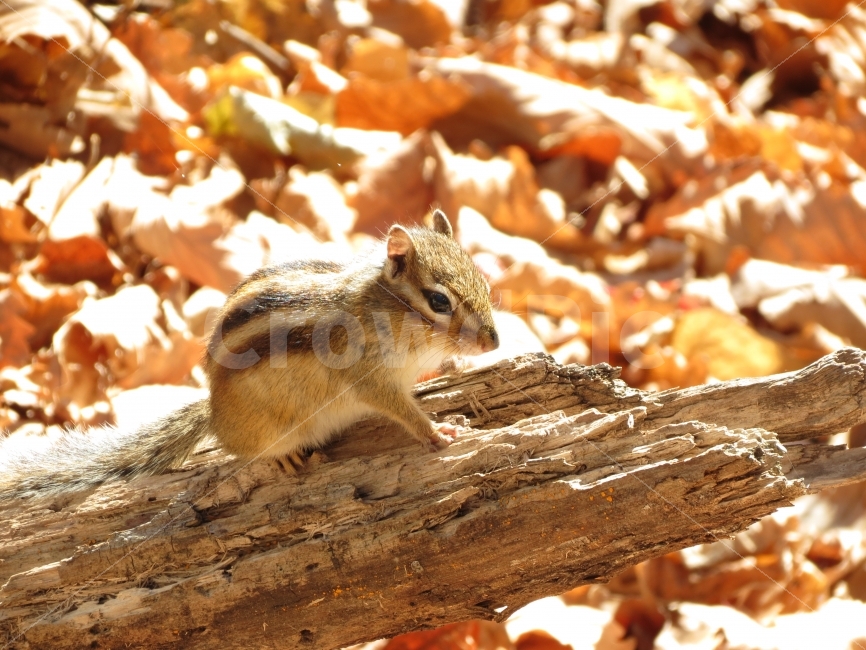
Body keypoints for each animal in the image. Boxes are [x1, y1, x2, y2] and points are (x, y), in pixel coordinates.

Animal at [0, 210, 499, 500]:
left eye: (482, 277)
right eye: (438, 301)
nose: (493, 342)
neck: (385, 309)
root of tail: (214, 411)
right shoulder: (368, 374)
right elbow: (398, 408)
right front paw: (437, 432)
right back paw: (280, 457)